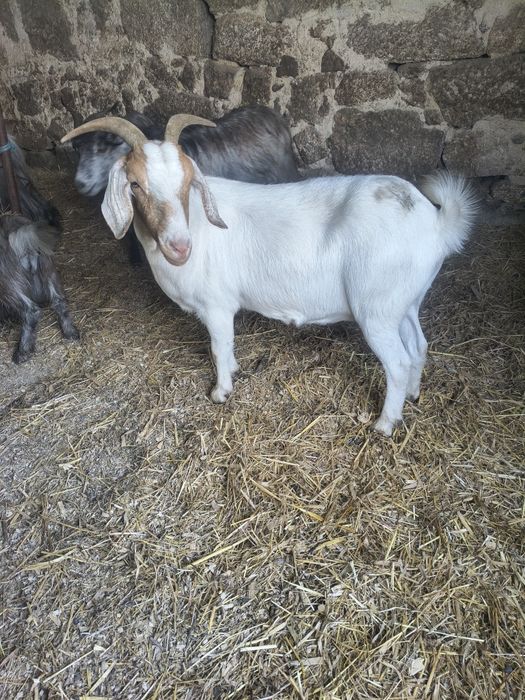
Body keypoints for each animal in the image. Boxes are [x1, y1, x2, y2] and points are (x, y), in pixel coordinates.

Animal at [0, 214, 79, 363]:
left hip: (10, 285)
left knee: (31, 312)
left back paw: (22, 353)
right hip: (49, 272)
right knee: (60, 302)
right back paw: (71, 332)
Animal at [62, 116, 477, 436]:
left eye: (187, 181)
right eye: (135, 184)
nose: (179, 247)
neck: (198, 224)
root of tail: (436, 221)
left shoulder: (217, 306)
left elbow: (219, 347)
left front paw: (221, 392)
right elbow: (227, 349)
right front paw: (234, 372)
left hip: (376, 309)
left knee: (399, 361)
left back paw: (386, 423)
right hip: (404, 302)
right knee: (419, 346)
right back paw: (413, 394)